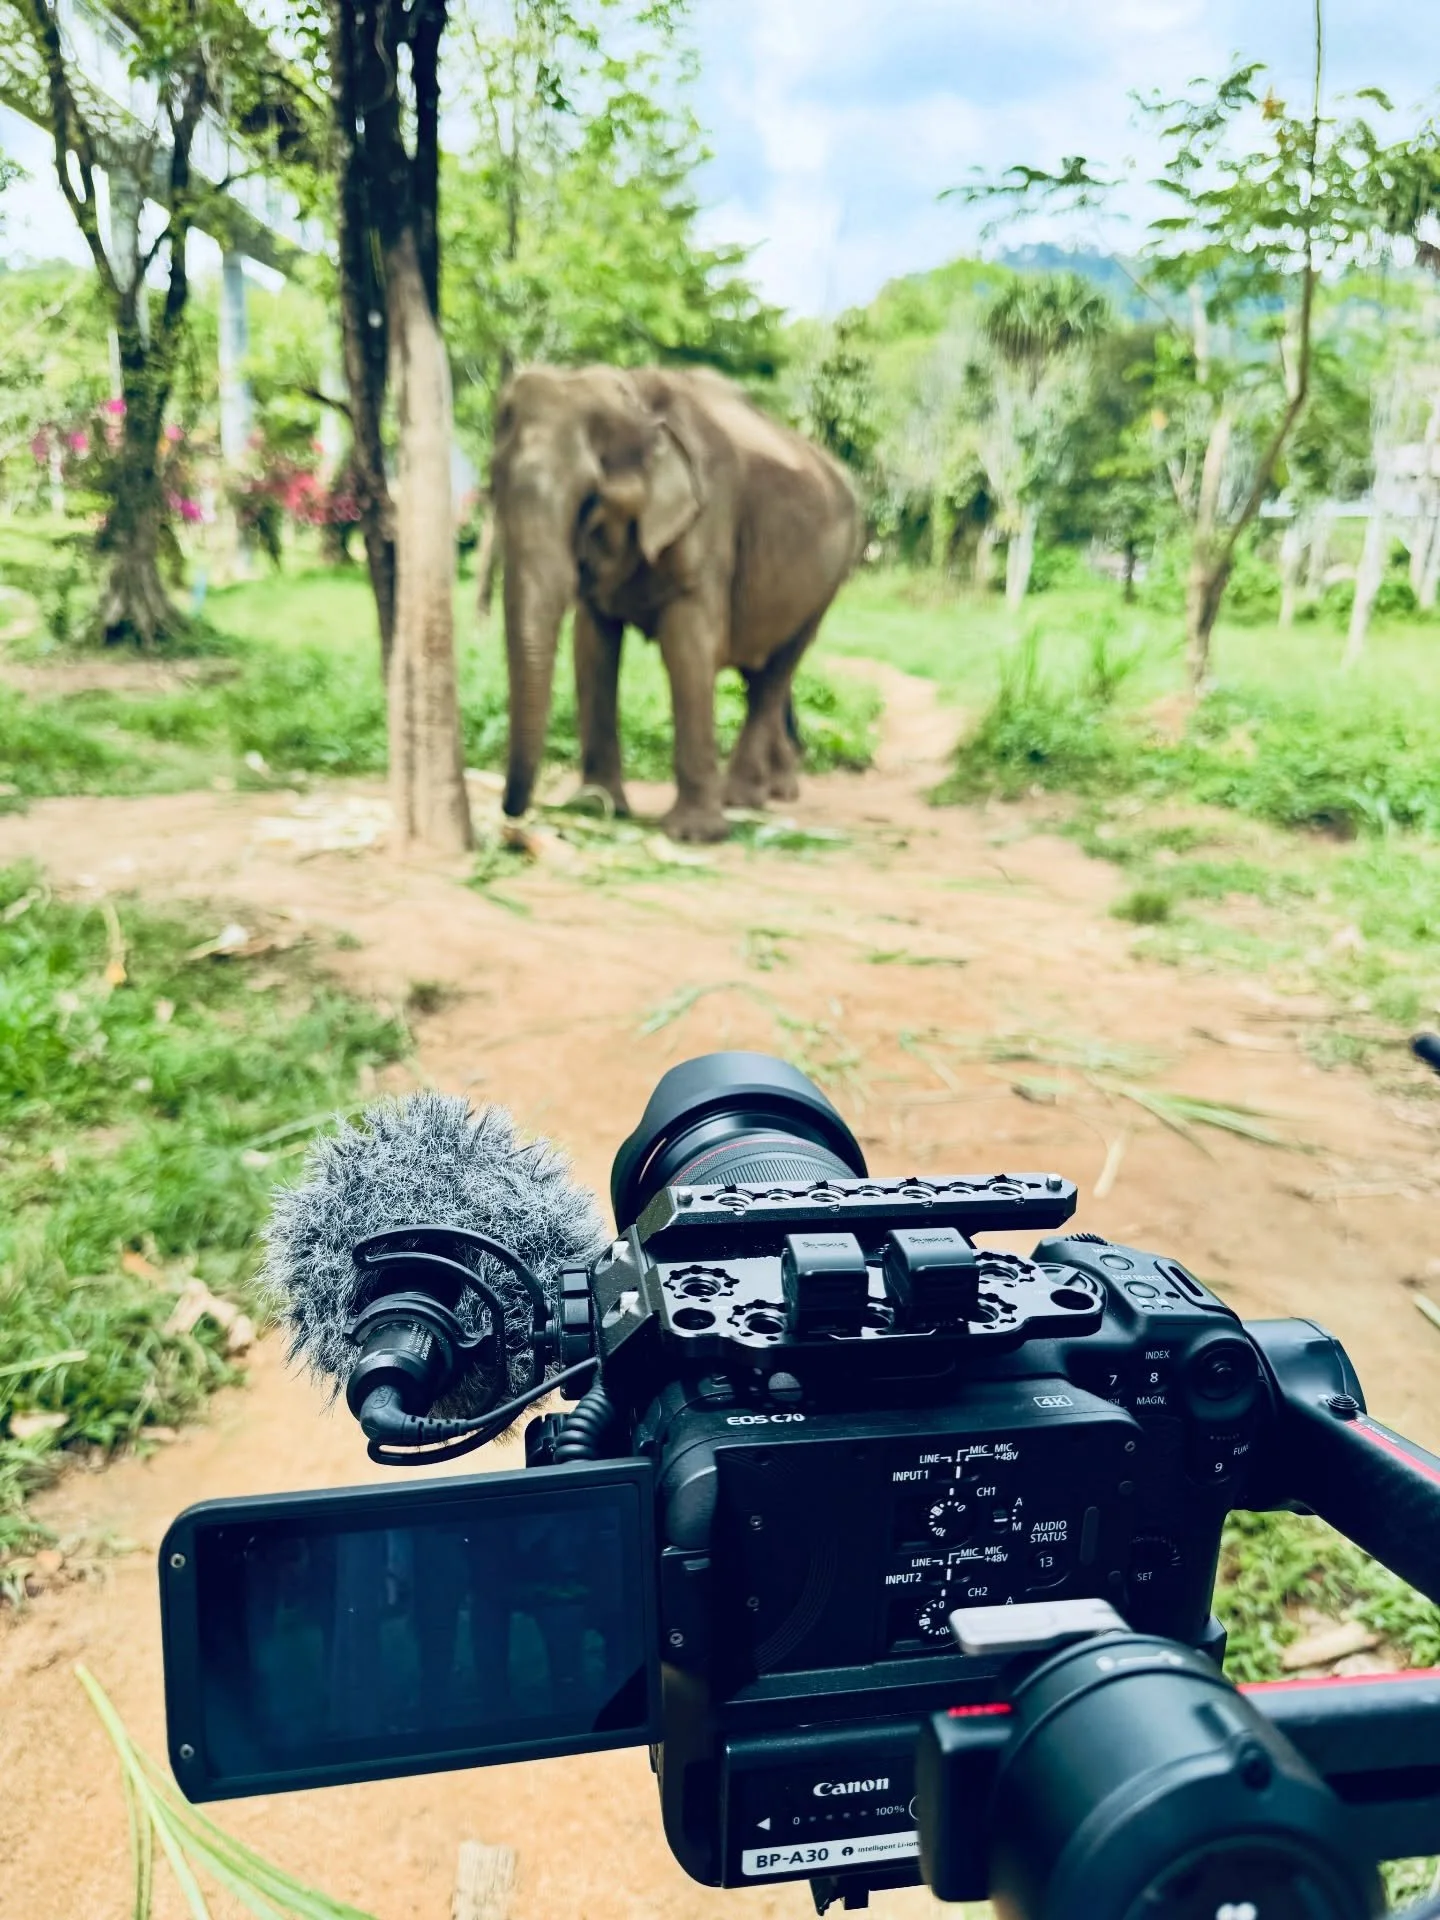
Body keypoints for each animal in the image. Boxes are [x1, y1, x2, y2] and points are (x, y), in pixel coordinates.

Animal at [490, 363, 860, 841]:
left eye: (591, 499)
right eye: (493, 483)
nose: (511, 814)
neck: (633, 397)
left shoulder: (709, 521)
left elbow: (688, 647)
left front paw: (694, 835)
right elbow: (592, 646)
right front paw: (595, 807)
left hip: (832, 578)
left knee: (778, 668)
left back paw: (741, 798)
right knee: (758, 667)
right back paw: (774, 791)